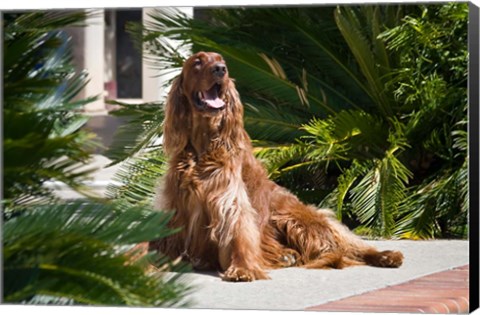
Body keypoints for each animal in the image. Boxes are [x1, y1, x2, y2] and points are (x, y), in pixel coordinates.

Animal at [149, 52, 402, 284]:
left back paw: (387, 255)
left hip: (296, 218)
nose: (221, 69)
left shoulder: (229, 200)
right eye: (198, 62)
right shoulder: (175, 205)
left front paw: (243, 269)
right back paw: (287, 256)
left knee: (349, 244)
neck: (203, 146)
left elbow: (239, 231)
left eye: (221, 60)